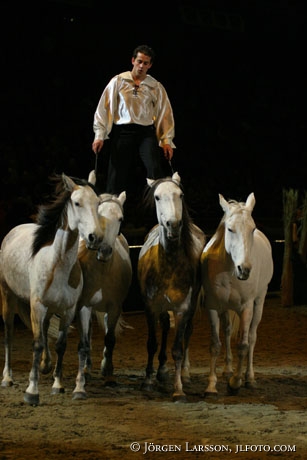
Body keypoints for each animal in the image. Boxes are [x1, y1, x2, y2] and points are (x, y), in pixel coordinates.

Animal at [0, 174, 103, 404]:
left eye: (98, 203)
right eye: (77, 203)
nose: (95, 238)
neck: (58, 266)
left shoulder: (67, 310)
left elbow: (60, 345)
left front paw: (58, 384)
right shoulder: (37, 306)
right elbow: (37, 344)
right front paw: (32, 392)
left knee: (46, 331)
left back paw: (45, 366)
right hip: (8, 298)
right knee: (9, 335)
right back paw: (7, 378)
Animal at [74, 176, 133, 398]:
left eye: (120, 219)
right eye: (98, 215)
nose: (105, 250)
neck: (102, 269)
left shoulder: (115, 307)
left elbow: (110, 339)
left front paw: (108, 374)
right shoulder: (83, 306)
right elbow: (84, 341)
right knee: (89, 334)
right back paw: (87, 367)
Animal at [138, 172, 207, 402]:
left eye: (180, 195)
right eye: (157, 197)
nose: (173, 225)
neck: (169, 265)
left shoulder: (183, 309)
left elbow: (177, 348)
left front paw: (178, 389)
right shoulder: (150, 307)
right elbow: (151, 343)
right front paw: (148, 381)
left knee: (187, 334)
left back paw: (184, 374)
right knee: (165, 327)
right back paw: (160, 371)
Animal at [202, 192, 274, 398]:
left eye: (252, 228)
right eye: (230, 229)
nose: (245, 269)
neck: (229, 271)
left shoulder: (246, 307)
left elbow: (243, 344)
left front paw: (235, 383)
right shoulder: (212, 306)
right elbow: (215, 344)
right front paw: (211, 385)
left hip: (259, 302)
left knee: (252, 337)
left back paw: (249, 378)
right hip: (226, 308)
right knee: (227, 332)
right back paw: (228, 370)